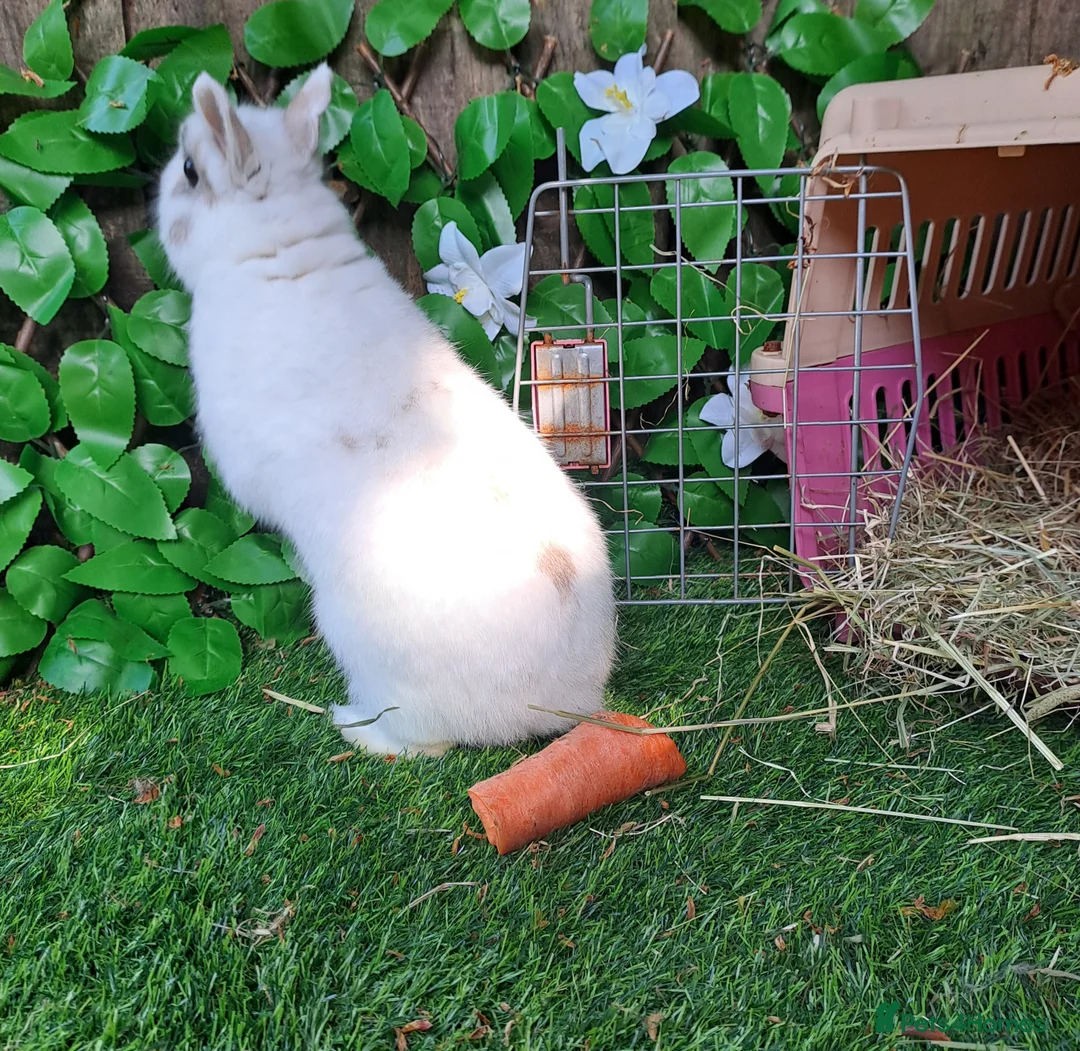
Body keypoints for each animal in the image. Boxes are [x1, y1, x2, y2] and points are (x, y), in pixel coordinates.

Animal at [155, 64, 617, 757]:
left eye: (188, 170)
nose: (159, 202)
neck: (277, 255)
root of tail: (565, 702)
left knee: (424, 743)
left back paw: (352, 726)